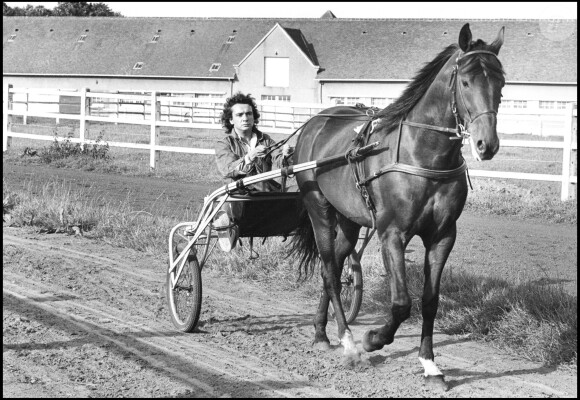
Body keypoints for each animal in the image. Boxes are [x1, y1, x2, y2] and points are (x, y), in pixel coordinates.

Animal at [288, 22, 502, 390]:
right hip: (319, 210)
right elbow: (401, 303)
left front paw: (430, 364)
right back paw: (347, 340)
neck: (424, 155)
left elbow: (429, 301)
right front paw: (373, 339)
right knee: (329, 271)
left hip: (349, 219)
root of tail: (318, 121)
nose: (486, 144)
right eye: (466, 82)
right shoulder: (392, 234)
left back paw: (320, 332)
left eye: (500, 82)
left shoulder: (443, 236)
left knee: (332, 268)